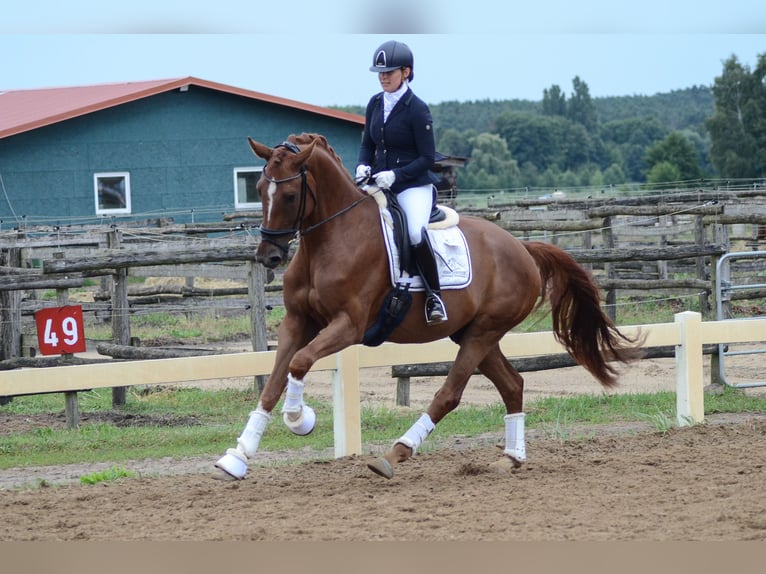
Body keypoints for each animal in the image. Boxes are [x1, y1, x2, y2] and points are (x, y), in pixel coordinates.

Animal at [213, 134, 644, 482]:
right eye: (260, 188)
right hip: (475, 334)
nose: (268, 256)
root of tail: (523, 248)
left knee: (449, 394)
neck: (331, 240)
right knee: (513, 384)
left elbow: (300, 363)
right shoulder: (297, 322)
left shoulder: (349, 325)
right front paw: (237, 458)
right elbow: (274, 381)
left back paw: (394, 455)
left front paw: (300, 420)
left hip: (482, 333)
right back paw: (510, 458)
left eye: (288, 195)